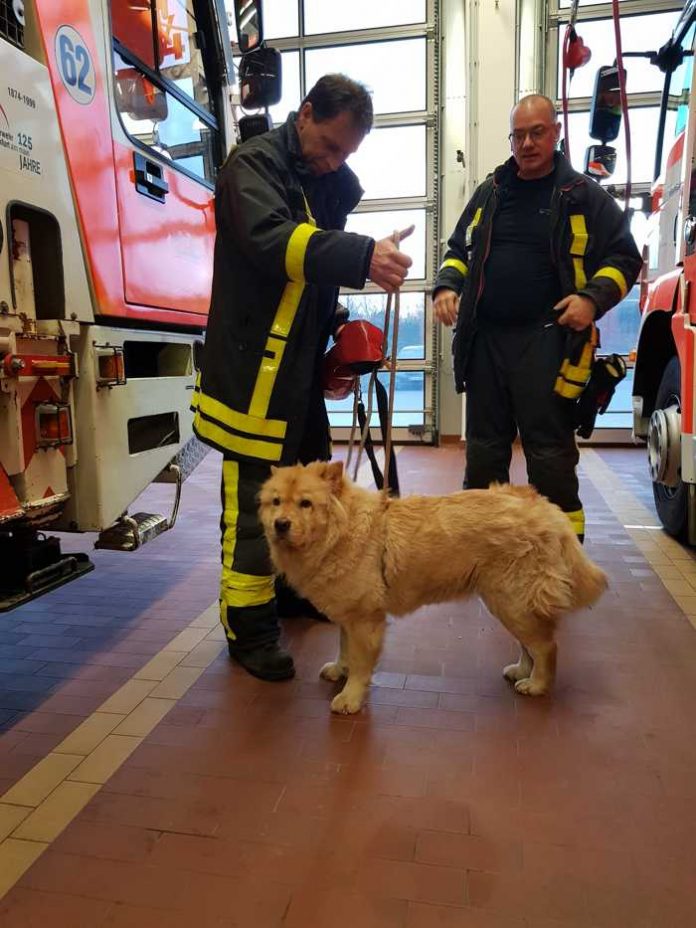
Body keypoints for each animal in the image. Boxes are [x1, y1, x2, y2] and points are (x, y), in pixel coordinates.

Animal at [258, 460, 608, 716]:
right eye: (276, 502)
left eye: (305, 504)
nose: (280, 524)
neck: (341, 532)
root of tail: (544, 506)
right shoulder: (347, 613)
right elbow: (343, 648)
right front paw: (338, 670)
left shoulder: (365, 619)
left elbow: (360, 663)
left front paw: (350, 698)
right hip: (511, 603)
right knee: (531, 644)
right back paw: (521, 672)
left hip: (511, 601)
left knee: (547, 646)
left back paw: (536, 685)